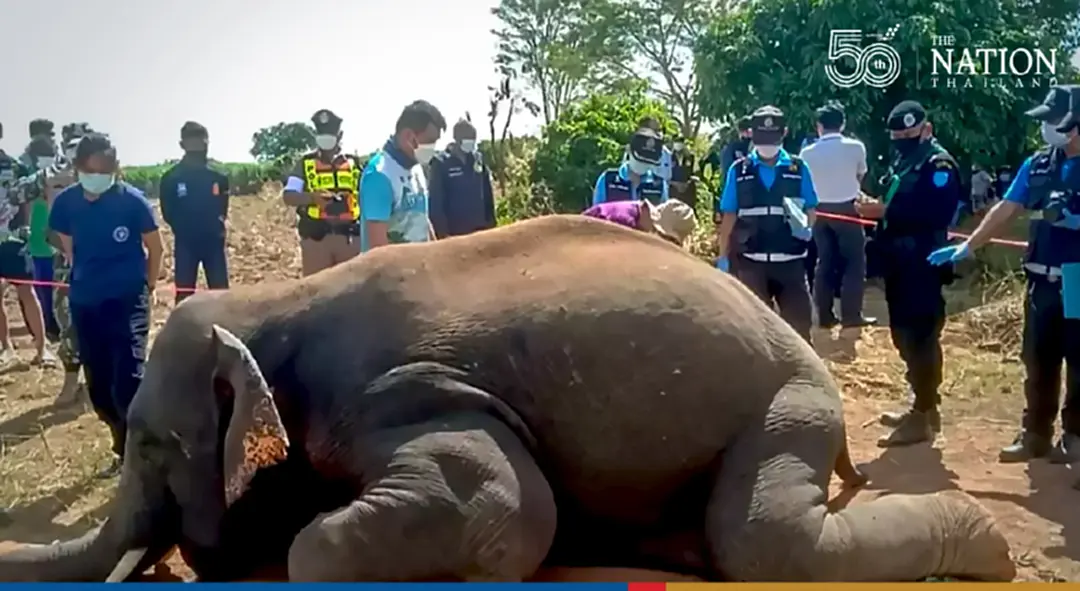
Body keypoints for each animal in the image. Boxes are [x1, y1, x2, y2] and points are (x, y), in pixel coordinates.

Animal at [0, 215, 1015, 582]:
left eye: (151, 445)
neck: (272, 305)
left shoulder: (402, 394)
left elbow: (508, 506)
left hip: (788, 404)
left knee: (765, 543)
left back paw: (989, 551)